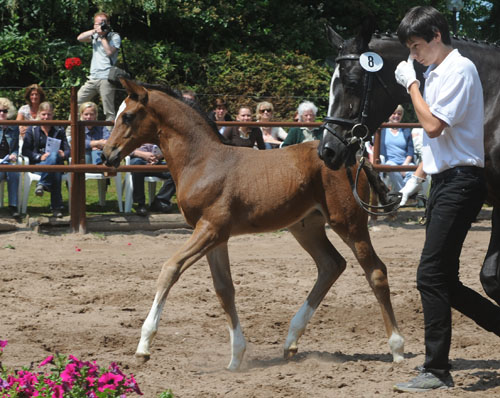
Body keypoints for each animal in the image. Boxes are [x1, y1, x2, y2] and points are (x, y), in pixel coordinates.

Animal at [100, 79, 402, 372]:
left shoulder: (210, 229)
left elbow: (170, 268)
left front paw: (143, 347)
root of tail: (356, 158)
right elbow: (224, 289)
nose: (107, 154)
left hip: (349, 223)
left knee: (375, 271)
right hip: (305, 227)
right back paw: (291, 341)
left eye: (127, 116)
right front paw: (236, 358)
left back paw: (397, 347)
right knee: (331, 265)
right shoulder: (216, 236)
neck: (202, 162)